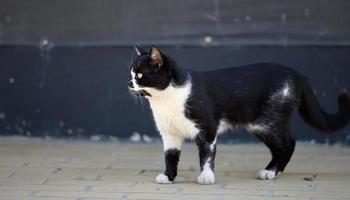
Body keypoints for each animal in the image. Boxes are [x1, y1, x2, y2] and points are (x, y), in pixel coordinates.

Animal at [128, 45, 350, 184]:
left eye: (140, 75)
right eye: (131, 73)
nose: (129, 83)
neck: (166, 100)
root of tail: (296, 73)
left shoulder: (207, 128)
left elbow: (206, 155)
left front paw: (206, 177)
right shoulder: (169, 133)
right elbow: (170, 157)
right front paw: (168, 176)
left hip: (269, 121)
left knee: (288, 143)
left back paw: (270, 172)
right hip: (260, 125)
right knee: (281, 147)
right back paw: (269, 170)